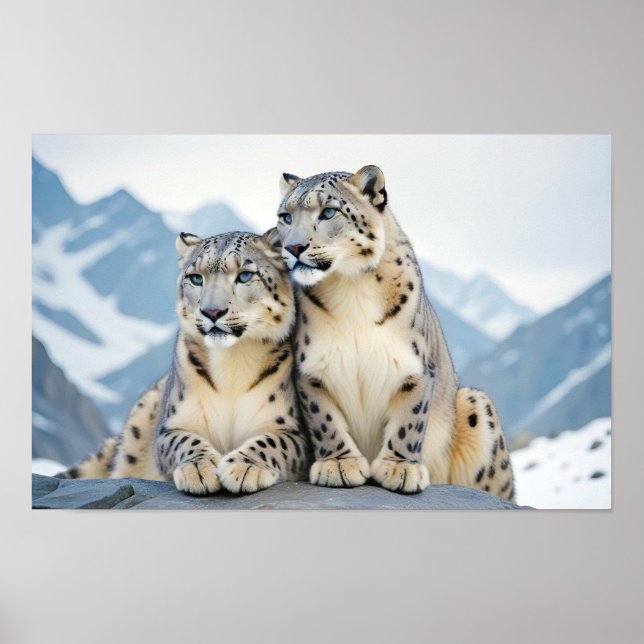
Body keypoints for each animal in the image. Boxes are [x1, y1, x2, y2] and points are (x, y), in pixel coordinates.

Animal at [58, 230, 310, 495]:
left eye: (245, 275)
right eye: (196, 278)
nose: (212, 312)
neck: (232, 363)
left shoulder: (291, 427)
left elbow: (272, 441)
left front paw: (244, 467)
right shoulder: (173, 424)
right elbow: (186, 441)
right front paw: (201, 469)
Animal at [273, 165, 515, 500]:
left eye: (329, 212)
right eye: (285, 216)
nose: (293, 247)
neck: (351, 290)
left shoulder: (414, 367)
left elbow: (408, 421)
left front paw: (399, 470)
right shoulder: (310, 369)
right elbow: (324, 419)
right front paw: (339, 465)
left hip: (476, 405)